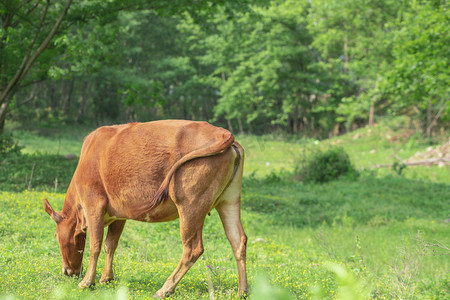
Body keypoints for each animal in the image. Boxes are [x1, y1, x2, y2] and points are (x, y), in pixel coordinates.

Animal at [43, 120, 248, 298]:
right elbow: (111, 245)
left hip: (190, 205)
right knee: (238, 240)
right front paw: (106, 278)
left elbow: (95, 245)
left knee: (192, 249)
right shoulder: (119, 214)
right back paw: (242, 292)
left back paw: (165, 289)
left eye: (56, 235)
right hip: (229, 200)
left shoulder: (93, 204)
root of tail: (221, 132)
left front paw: (87, 282)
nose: (67, 271)